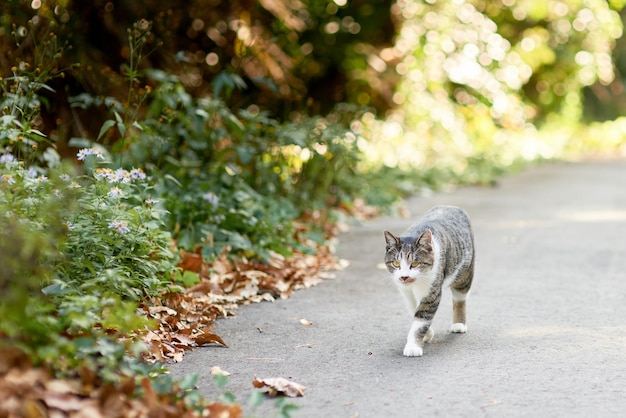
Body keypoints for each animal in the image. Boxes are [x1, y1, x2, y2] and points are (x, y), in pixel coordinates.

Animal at [380, 205, 472, 356]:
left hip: (465, 271)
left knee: (460, 296)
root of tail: (449, 206)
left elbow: (421, 318)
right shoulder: (406, 292)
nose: (404, 276)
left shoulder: (432, 291)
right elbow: (414, 310)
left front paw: (413, 346)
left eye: (415, 264)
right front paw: (427, 334)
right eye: (396, 263)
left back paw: (459, 324)